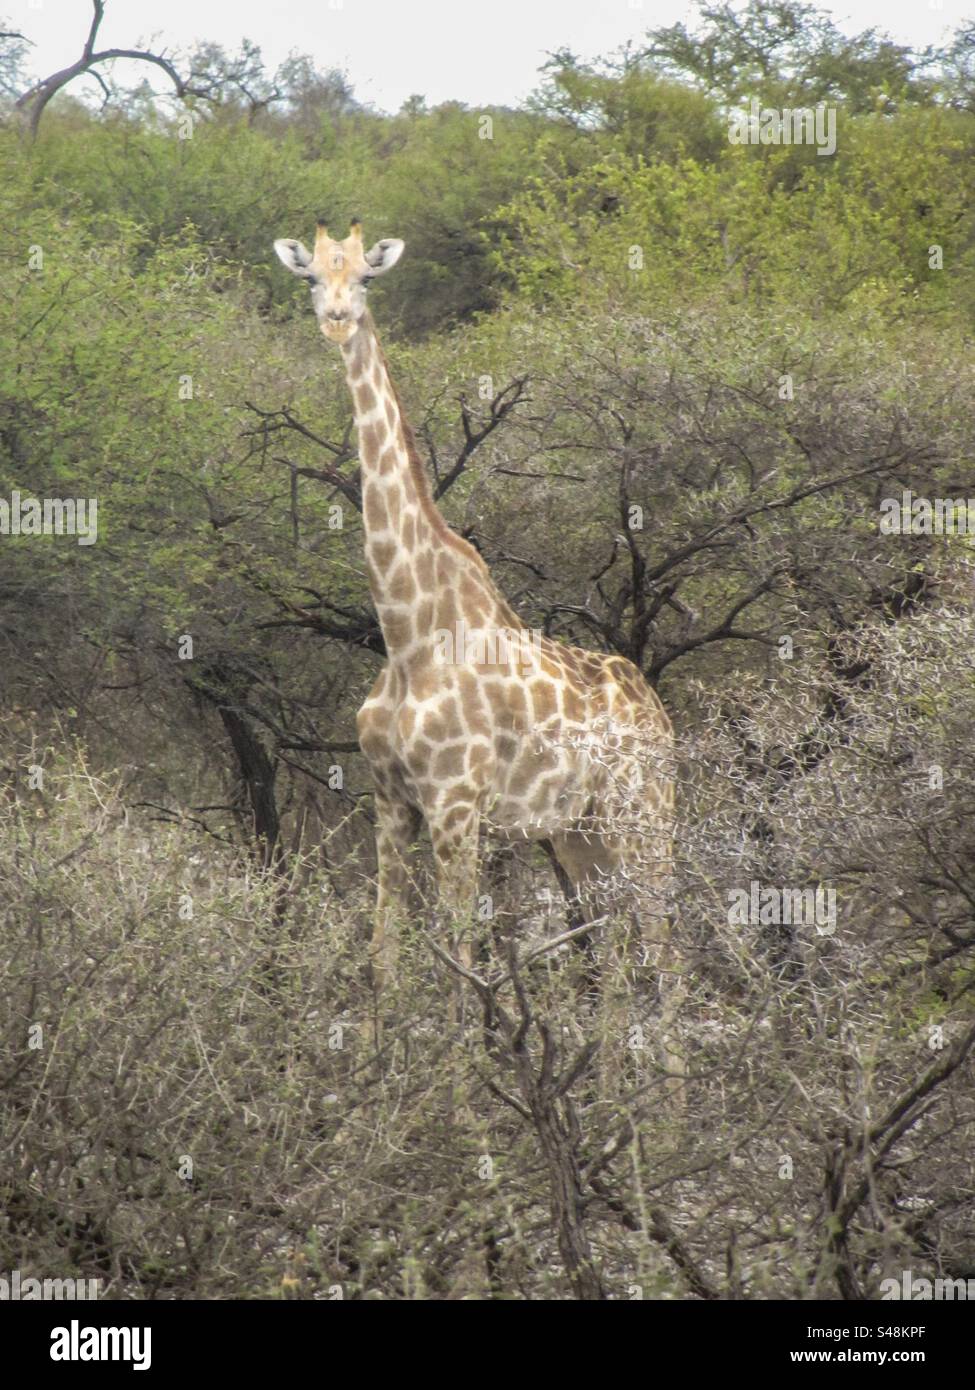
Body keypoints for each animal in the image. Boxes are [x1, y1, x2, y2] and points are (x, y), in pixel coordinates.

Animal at [274, 221, 682, 1086]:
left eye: (365, 278)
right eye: (311, 277)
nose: (335, 321)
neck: (406, 629)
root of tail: (661, 718)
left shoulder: (457, 807)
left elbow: (461, 968)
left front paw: (461, 1106)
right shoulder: (390, 800)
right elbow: (383, 957)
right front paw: (372, 1090)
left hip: (643, 814)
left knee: (666, 947)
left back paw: (674, 1105)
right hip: (581, 833)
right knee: (617, 948)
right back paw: (613, 1097)